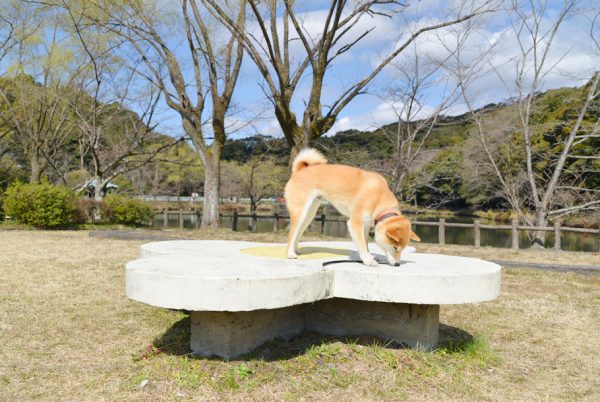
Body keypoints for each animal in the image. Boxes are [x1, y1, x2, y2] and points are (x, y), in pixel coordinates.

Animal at [286, 148, 422, 266]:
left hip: (309, 214)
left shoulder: (366, 224)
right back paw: (290, 254)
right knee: (292, 233)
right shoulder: (355, 223)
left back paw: (295, 250)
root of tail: (300, 170)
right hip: (300, 211)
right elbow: (361, 244)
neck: (380, 201)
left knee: (299, 231)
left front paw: (369, 255)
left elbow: (365, 243)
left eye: (403, 249)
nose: (398, 264)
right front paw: (368, 260)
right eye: (395, 247)